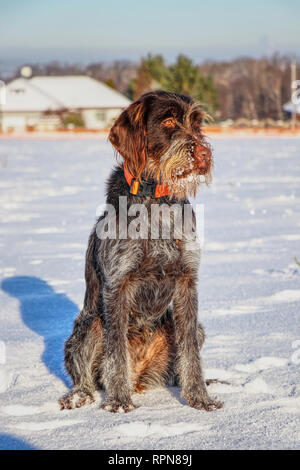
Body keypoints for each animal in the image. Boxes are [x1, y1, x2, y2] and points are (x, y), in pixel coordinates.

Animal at [59, 90, 223, 414]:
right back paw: (80, 395)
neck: (155, 203)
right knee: (87, 375)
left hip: (192, 328)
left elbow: (190, 352)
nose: (203, 155)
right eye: (168, 121)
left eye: (197, 123)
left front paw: (200, 398)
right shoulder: (117, 285)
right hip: (88, 326)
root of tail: (140, 376)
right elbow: (116, 352)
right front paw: (119, 401)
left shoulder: (186, 282)